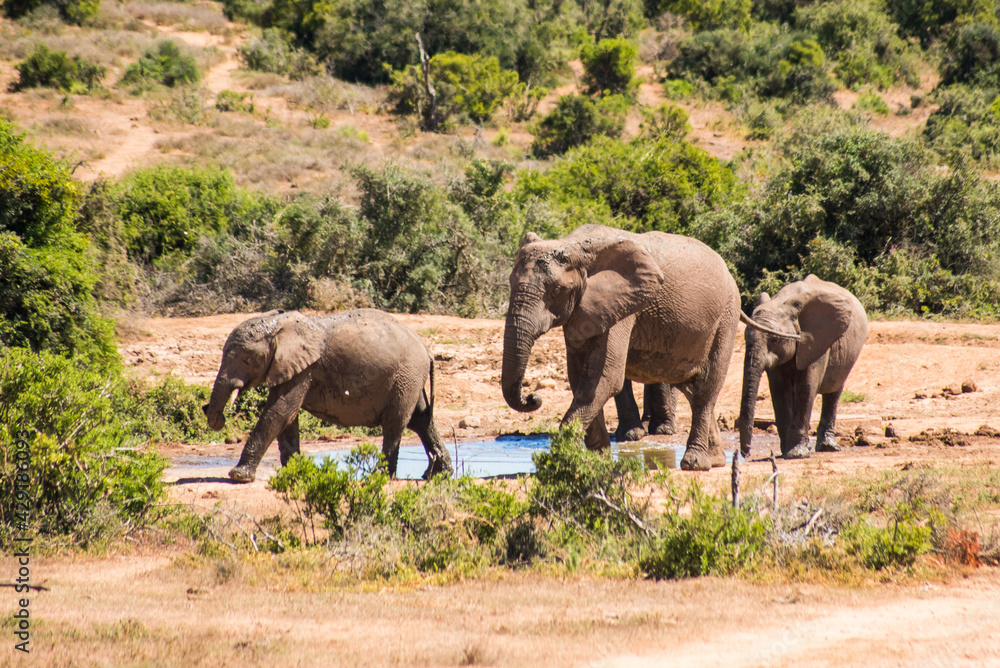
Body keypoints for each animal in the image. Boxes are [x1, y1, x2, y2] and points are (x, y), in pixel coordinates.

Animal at [203, 310, 454, 482]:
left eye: (246, 359)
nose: (214, 414)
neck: (279, 324)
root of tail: (426, 347)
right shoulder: (290, 367)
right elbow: (287, 418)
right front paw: (296, 473)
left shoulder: (304, 369)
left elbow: (280, 412)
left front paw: (239, 476)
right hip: (409, 378)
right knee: (421, 419)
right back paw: (436, 474)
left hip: (406, 375)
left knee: (396, 423)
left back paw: (381, 477)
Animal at [500, 224, 744, 470]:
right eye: (510, 282)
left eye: (557, 290)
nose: (533, 398)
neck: (575, 246)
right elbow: (580, 379)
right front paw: (597, 464)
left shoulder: (623, 309)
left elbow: (603, 379)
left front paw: (562, 462)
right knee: (692, 390)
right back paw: (715, 460)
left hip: (726, 318)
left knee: (706, 387)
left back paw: (695, 463)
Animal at [736, 276, 868, 460]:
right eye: (745, 339)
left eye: (775, 339)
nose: (746, 454)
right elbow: (779, 389)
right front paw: (788, 451)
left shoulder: (817, 340)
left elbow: (806, 387)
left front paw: (796, 454)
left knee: (833, 390)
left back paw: (828, 447)